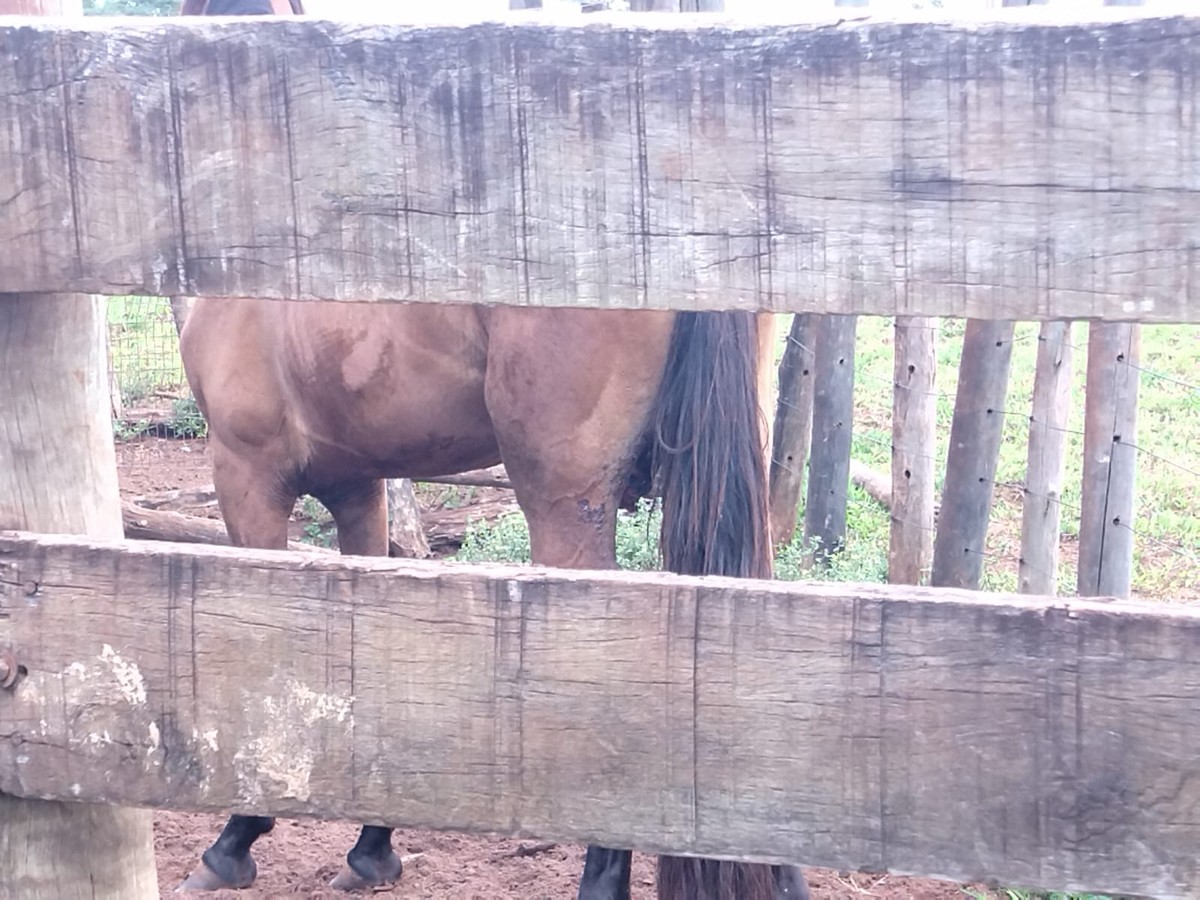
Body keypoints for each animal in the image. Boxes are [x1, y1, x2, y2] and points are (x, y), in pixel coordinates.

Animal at [174, 1, 811, 900]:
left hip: (565, 510)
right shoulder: (358, 488)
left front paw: (237, 834)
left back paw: (602, 875)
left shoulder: (248, 480)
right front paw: (372, 842)